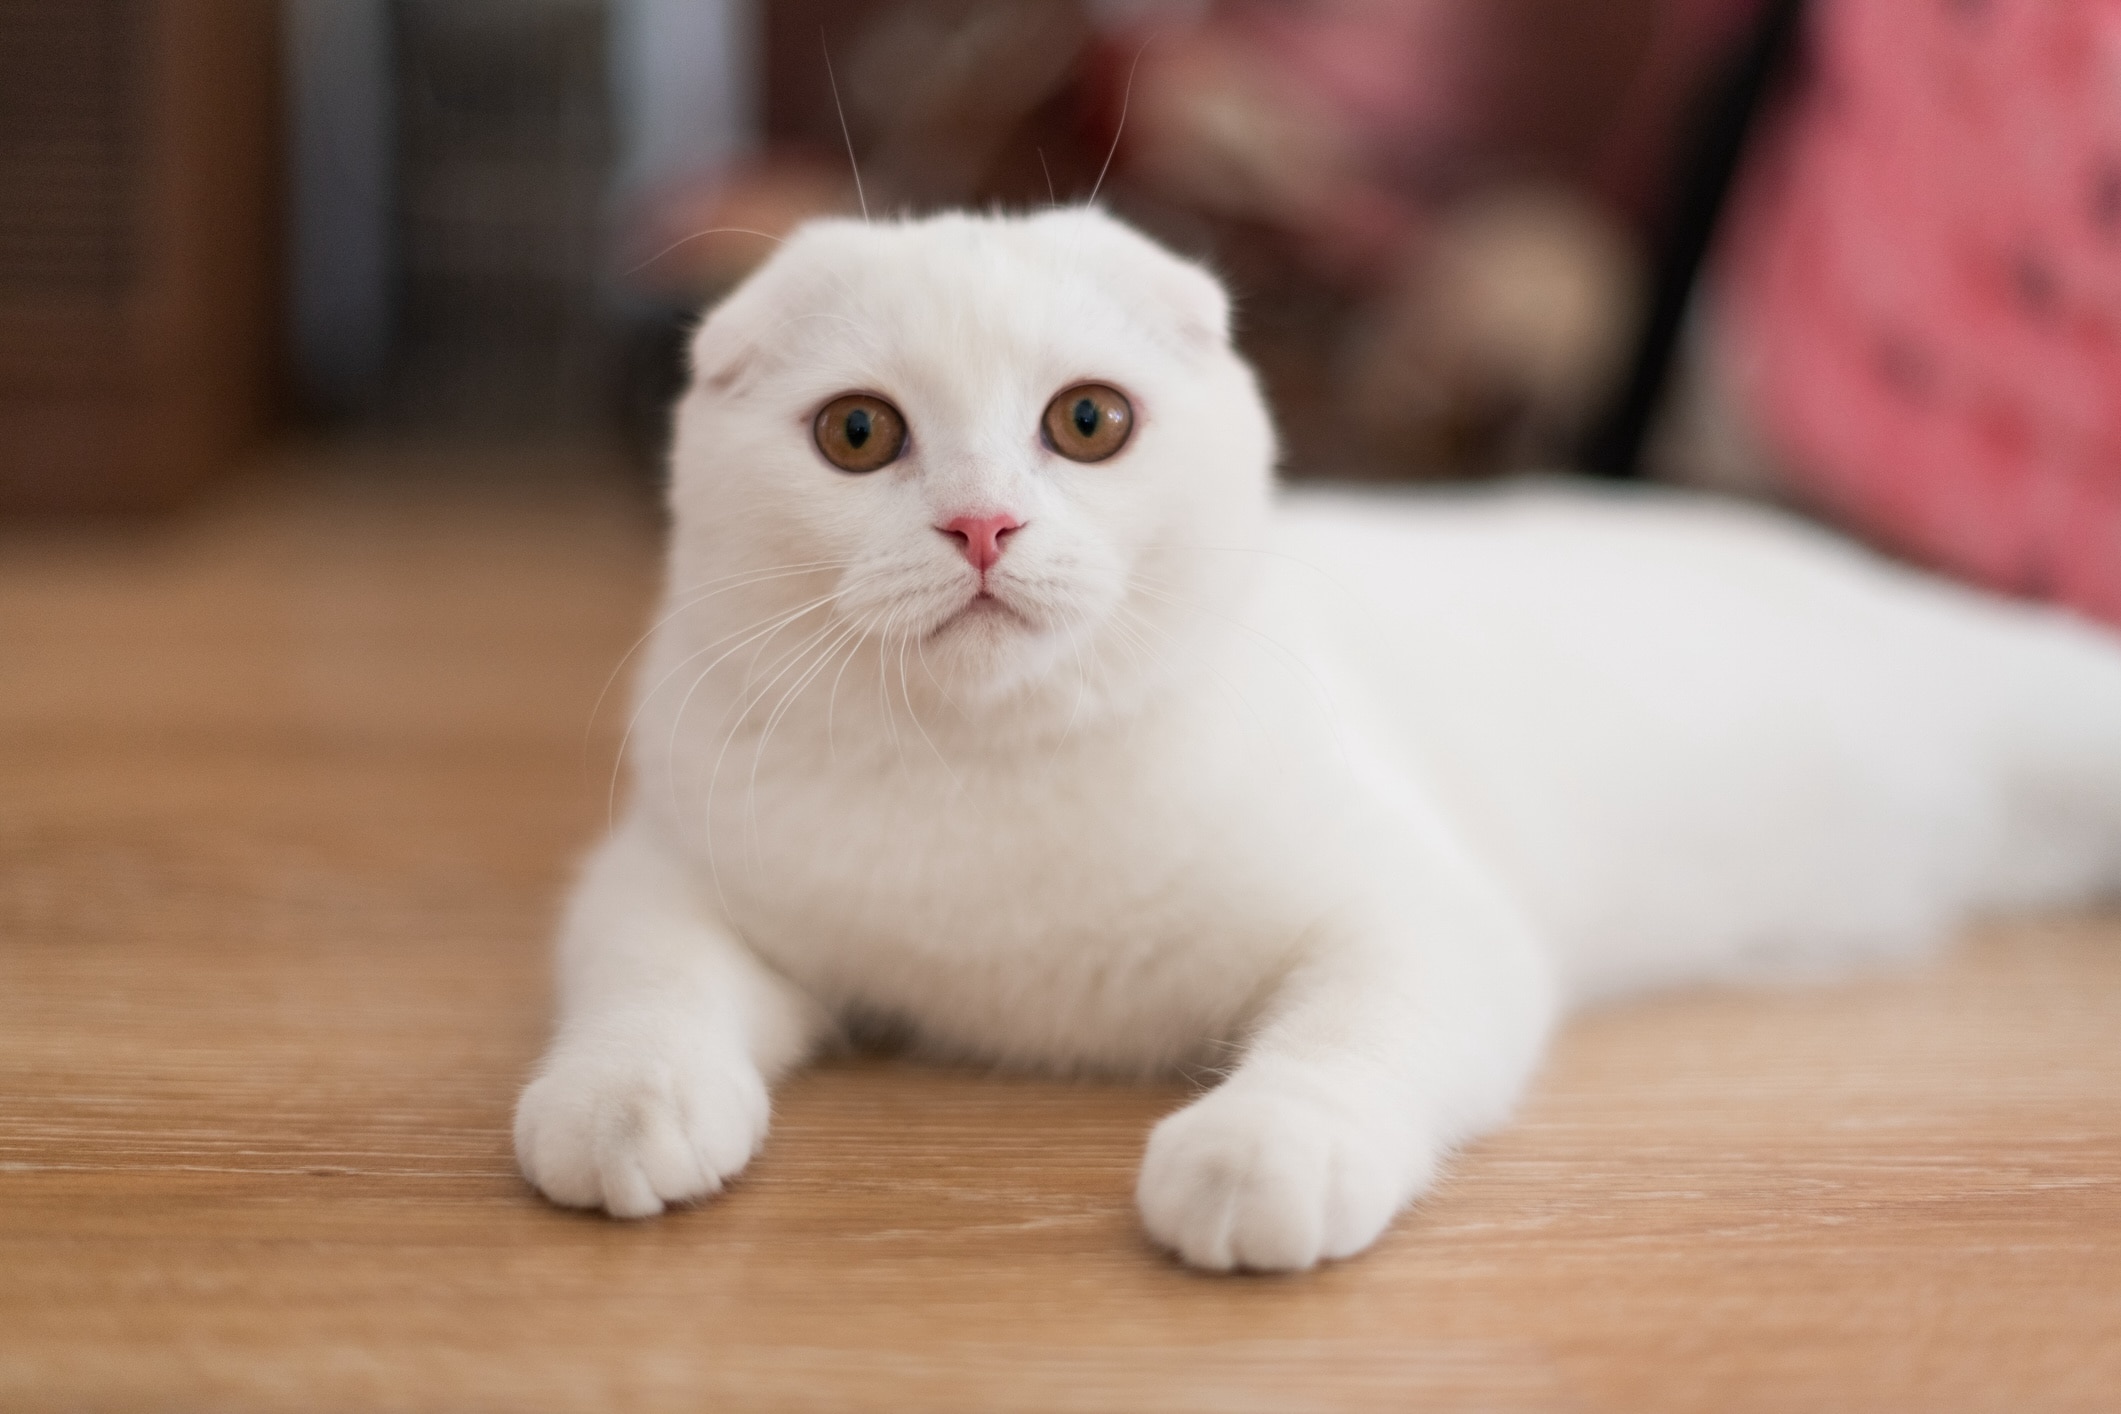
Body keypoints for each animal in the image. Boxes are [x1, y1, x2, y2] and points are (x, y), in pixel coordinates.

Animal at [513, 207, 2121, 1271]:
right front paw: (624, 1100)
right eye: (858, 433)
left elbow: (1348, 1039)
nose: (981, 525)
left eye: (1087, 420)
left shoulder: (1420, 914)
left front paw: (1260, 1151)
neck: (993, 792)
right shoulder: (662, 866)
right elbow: (648, 979)